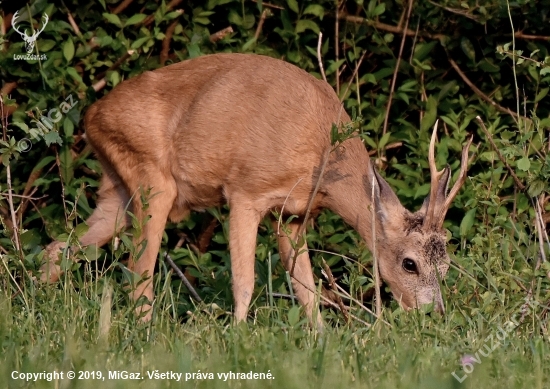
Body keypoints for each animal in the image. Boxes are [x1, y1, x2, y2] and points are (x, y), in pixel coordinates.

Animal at [42, 52, 474, 324]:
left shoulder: (294, 215)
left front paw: (320, 342)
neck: (321, 153)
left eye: (446, 265)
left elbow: (307, 290)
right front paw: (237, 337)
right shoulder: (245, 191)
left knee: (57, 250)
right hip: (154, 182)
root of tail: (91, 113)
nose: (435, 315)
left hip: (117, 191)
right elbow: (245, 281)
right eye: (409, 263)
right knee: (138, 275)